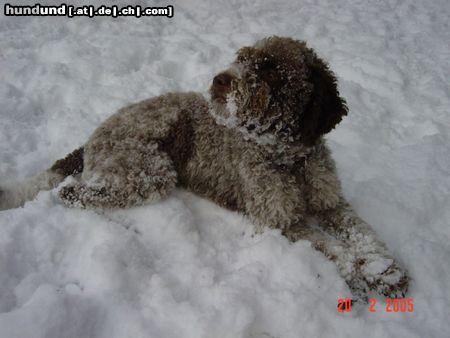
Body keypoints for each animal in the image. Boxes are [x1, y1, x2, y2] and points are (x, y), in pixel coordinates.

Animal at [0, 36, 408, 302]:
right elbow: (334, 249)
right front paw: (363, 274)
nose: (219, 79)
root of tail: (91, 139)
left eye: (271, 69)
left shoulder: (330, 202)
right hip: (151, 170)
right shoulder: (281, 221)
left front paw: (383, 269)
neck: (289, 159)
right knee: (72, 192)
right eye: (242, 57)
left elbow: (362, 232)